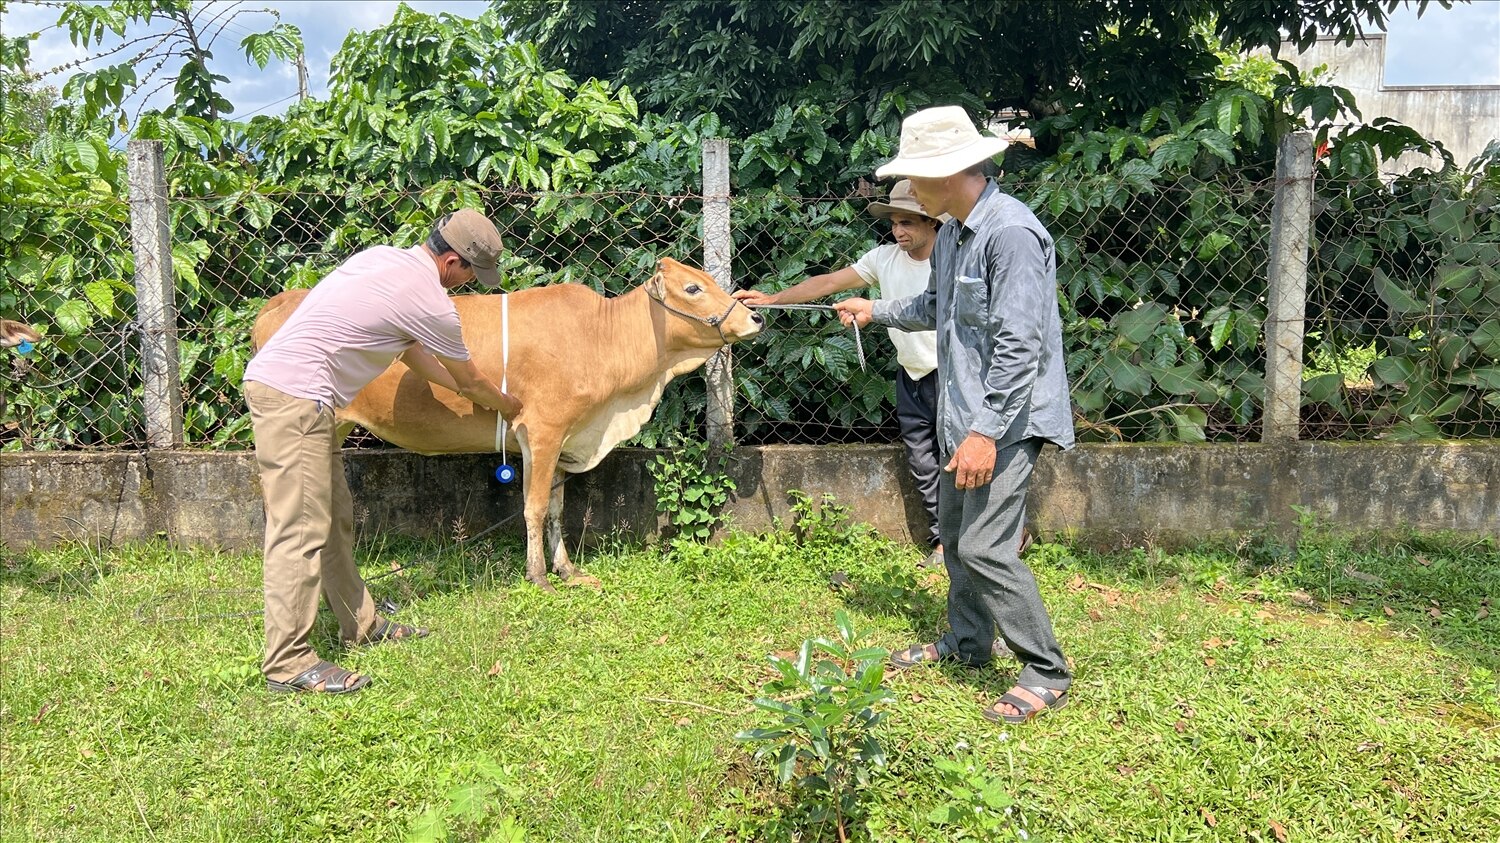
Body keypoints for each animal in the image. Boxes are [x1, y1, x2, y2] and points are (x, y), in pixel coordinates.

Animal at [255, 258, 762, 591]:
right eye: (692, 288)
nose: (754, 316)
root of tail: (278, 302)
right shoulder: (543, 430)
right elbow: (534, 508)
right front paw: (539, 576)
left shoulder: (558, 441)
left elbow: (556, 509)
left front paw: (567, 570)